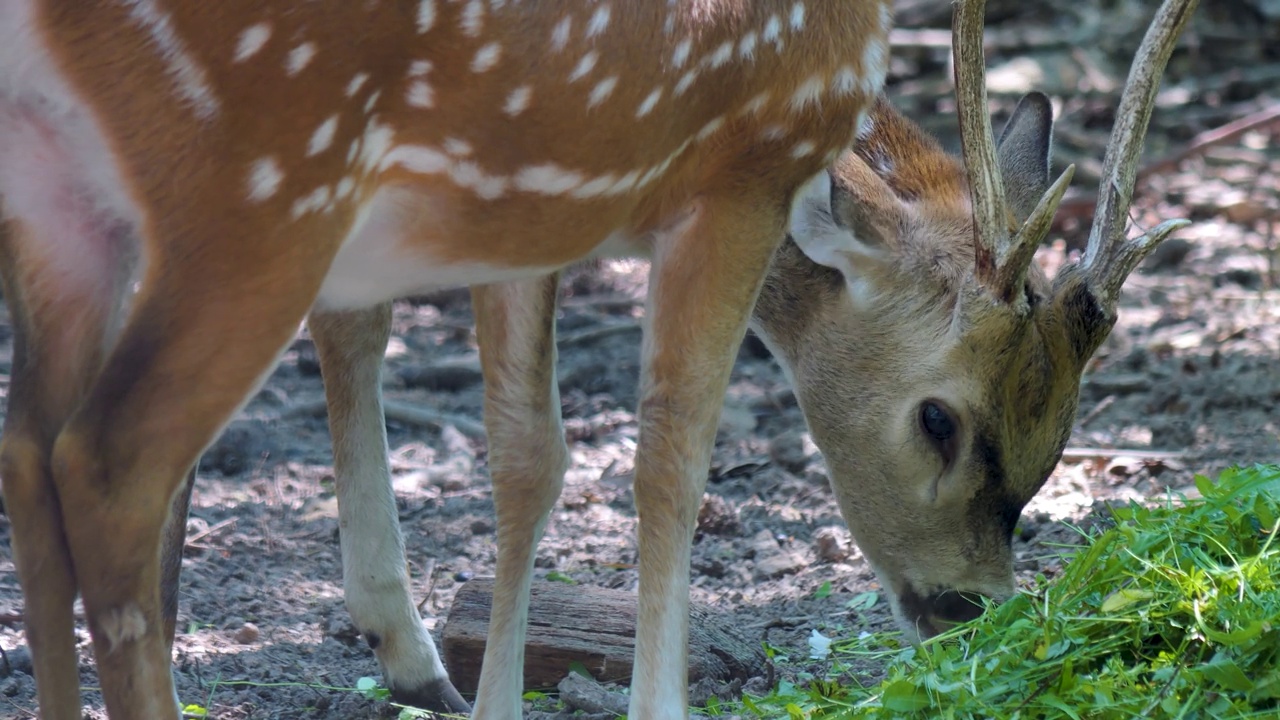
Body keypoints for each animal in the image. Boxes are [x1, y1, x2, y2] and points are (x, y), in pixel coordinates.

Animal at [0, 1, 1192, 717]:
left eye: (1059, 433)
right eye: (938, 418)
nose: (967, 608)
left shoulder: (515, 203)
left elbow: (520, 451)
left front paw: (446, 671)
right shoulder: (736, 171)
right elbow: (665, 456)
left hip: (68, 203)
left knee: (31, 450)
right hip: (254, 181)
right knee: (106, 461)